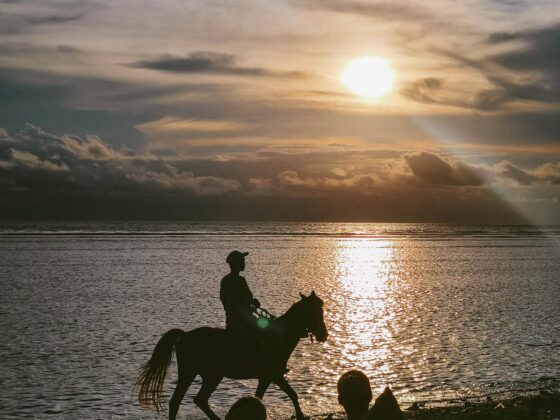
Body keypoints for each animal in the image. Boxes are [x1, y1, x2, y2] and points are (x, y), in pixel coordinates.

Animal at [136, 292, 328, 420]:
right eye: (314, 312)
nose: (323, 335)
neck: (279, 336)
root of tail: (185, 335)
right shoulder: (273, 375)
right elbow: (291, 394)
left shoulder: (266, 378)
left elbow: (260, 397)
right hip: (204, 375)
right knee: (190, 400)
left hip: (198, 375)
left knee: (186, 401)